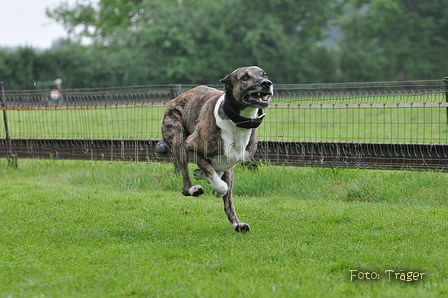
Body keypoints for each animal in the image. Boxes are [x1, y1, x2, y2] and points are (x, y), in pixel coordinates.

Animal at [159, 66, 274, 232]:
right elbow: (221, 185)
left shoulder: (232, 161)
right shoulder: (191, 146)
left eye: (264, 74)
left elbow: (218, 177)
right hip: (178, 138)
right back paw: (193, 189)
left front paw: (203, 174)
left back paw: (238, 224)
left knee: (228, 202)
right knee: (185, 184)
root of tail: (175, 99)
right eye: (245, 77)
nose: (266, 83)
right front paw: (213, 186)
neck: (237, 122)